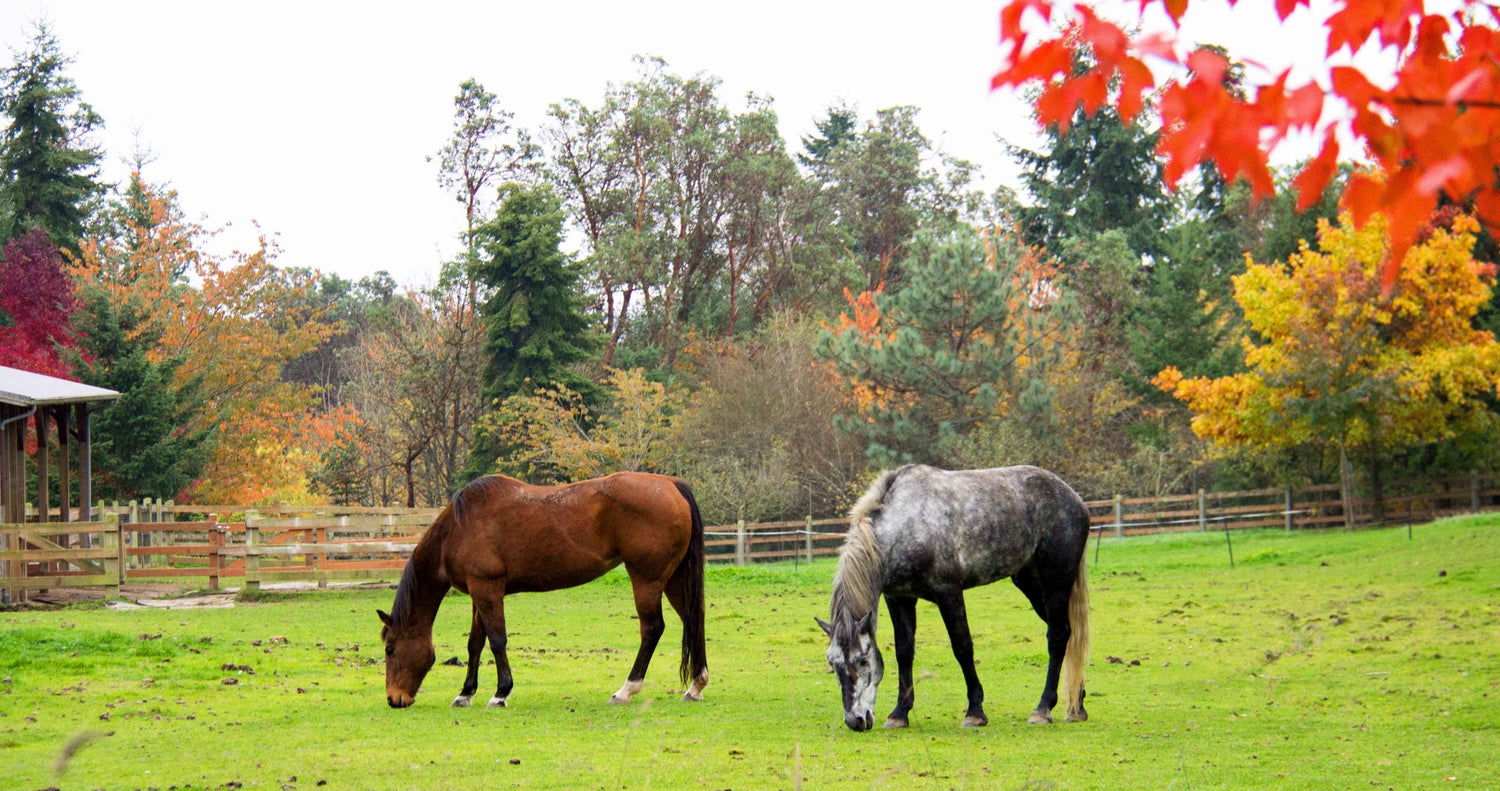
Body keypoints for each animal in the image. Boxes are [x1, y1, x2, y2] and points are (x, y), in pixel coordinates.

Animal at [372, 474, 705, 708]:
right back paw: (696, 686)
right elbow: (475, 643)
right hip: (674, 579)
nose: (393, 698)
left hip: (646, 580)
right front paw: (466, 693)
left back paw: (626, 690)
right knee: (693, 621)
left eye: (390, 649)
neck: (459, 527)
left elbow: (497, 640)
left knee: (652, 629)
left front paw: (500, 693)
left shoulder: (488, 589)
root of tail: (670, 484)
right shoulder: (479, 594)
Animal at [822, 465, 1092, 729]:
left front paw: (975, 711)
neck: (906, 523)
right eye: (832, 663)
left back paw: (1043, 708)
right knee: (1067, 633)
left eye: (862, 660)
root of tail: (1074, 498)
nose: (856, 721)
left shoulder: (949, 593)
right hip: (1030, 582)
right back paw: (1076, 703)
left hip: (1055, 579)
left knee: (1057, 635)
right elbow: (904, 652)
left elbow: (962, 647)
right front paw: (899, 714)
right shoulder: (899, 598)